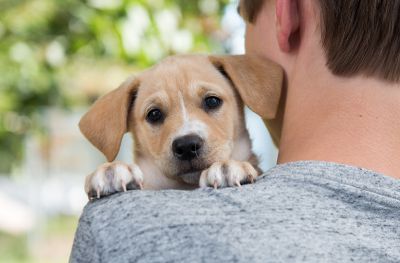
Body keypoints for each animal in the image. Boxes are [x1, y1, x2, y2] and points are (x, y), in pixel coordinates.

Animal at [79, 54, 282, 200]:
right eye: (154, 114)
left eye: (212, 101)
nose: (186, 146)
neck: (187, 186)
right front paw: (111, 170)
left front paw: (229, 166)